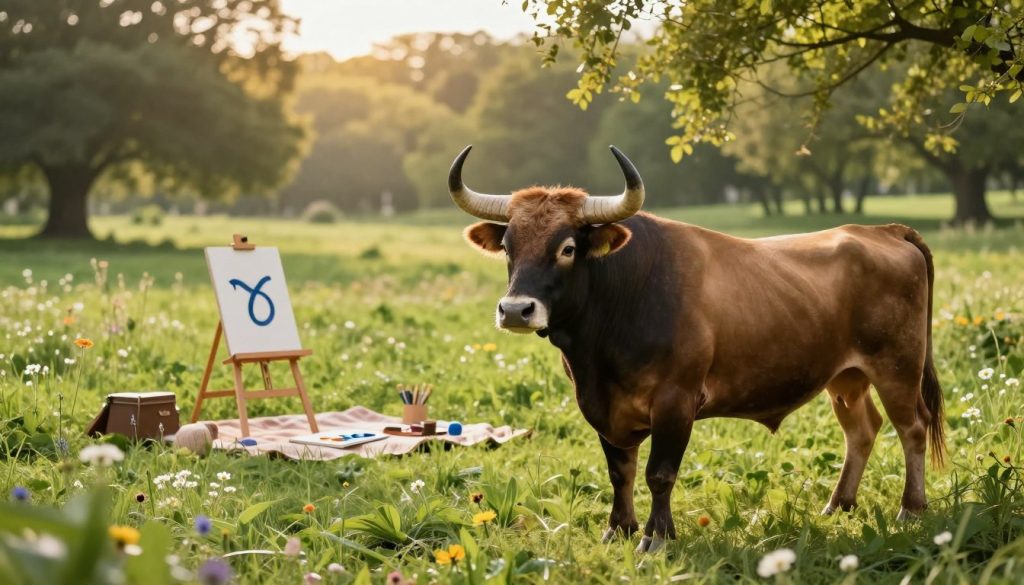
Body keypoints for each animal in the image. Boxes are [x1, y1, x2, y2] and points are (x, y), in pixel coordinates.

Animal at [447, 145, 946, 552]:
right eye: (508, 246)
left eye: (568, 247)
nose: (516, 309)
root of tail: (881, 230)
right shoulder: (602, 406)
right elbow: (620, 471)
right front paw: (618, 529)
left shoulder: (676, 401)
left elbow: (659, 472)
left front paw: (656, 537)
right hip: (845, 377)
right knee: (861, 430)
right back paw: (838, 504)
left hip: (898, 367)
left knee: (912, 427)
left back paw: (911, 508)